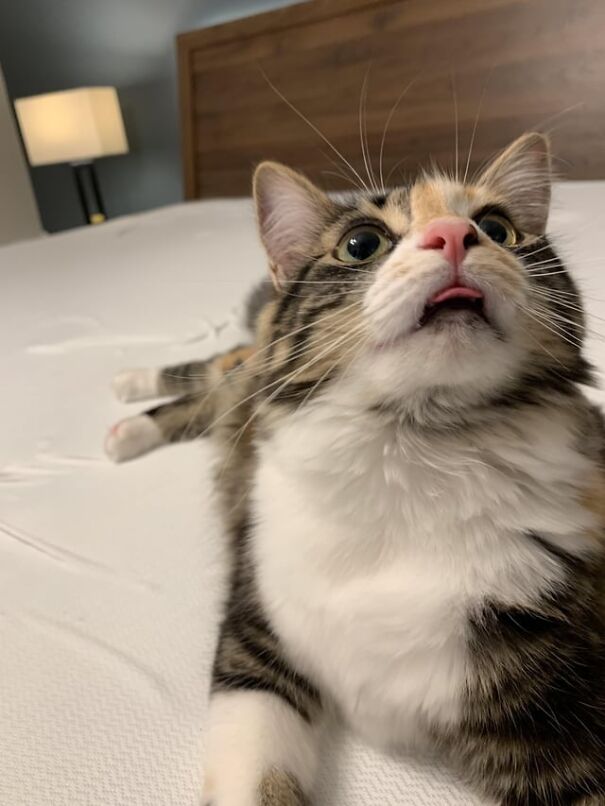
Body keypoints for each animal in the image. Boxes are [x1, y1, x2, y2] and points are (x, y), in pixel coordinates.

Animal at [107, 134, 604, 806]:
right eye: (362, 243)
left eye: (497, 227)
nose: (453, 234)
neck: (413, 454)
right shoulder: (257, 629)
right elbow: (257, 777)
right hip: (243, 376)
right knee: (215, 368)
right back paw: (126, 408)